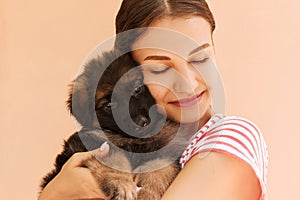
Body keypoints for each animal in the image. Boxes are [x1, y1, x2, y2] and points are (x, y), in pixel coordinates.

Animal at [40, 50, 188, 199]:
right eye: (108, 105)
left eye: (137, 89)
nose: (141, 123)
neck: (138, 141)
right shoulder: (90, 144)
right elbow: (115, 160)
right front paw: (123, 185)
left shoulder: (166, 155)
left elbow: (160, 173)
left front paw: (148, 193)